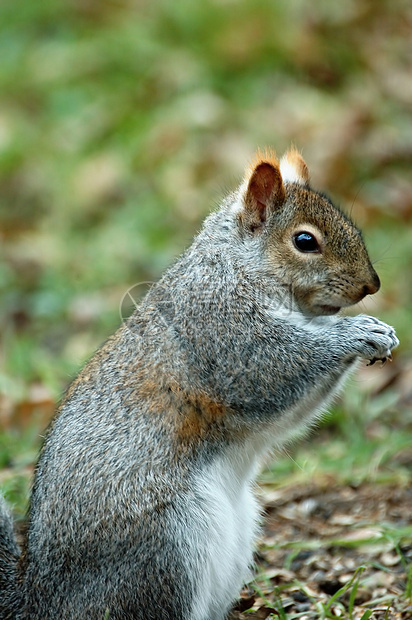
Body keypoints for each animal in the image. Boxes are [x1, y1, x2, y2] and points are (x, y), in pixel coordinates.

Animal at [0, 148, 400, 616]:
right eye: (305, 241)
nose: (371, 285)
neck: (238, 266)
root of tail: (41, 599)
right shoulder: (223, 328)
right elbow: (273, 367)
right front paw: (357, 332)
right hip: (166, 549)